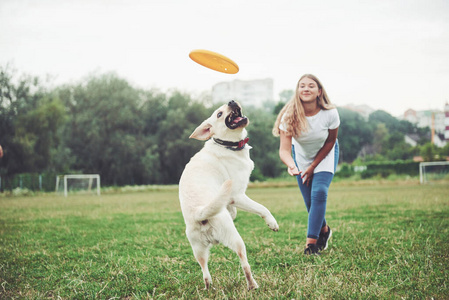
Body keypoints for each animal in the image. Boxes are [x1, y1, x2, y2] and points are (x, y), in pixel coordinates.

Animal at [178, 101, 276, 290]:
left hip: (198, 250)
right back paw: (252, 285)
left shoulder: (229, 198)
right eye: (219, 114)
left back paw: (210, 288)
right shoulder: (238, 194)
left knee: (205, 273)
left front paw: (232, 212)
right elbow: (262, 208)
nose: (232, 101)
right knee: (245, 265)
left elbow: (231, 206)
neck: (227, 145)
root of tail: (199, 213)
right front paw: (272, 223)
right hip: (236, 240)